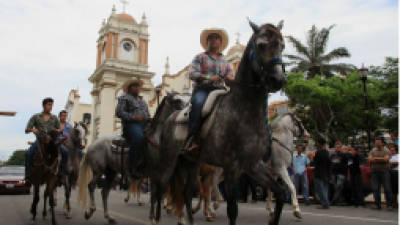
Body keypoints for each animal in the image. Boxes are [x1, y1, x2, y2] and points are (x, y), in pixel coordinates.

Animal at [77, 92, 188, 224]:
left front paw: (157, 218)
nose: (189, 112)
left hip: (111, 172)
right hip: (99, 170)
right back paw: (90, 211)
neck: (159, 141)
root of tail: (92, 145)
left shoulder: (164, 176)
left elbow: (159, 196)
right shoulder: (154, 175)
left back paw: (109, 217)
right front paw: (153, 219)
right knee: (91, 186)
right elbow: (154, 196)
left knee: (104, 192)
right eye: (177, 100)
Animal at [151, 18, 288, 225]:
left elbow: (280, 194)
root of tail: (170, 118)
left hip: (191, 163)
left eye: (282, 45)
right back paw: (156, 218)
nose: (277, 79)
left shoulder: (254, 165)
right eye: (261, 45)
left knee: (185, 192)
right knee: (160, 187)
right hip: (169, 160)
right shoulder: (232, 168)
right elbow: (232, 210)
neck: (244, 111)